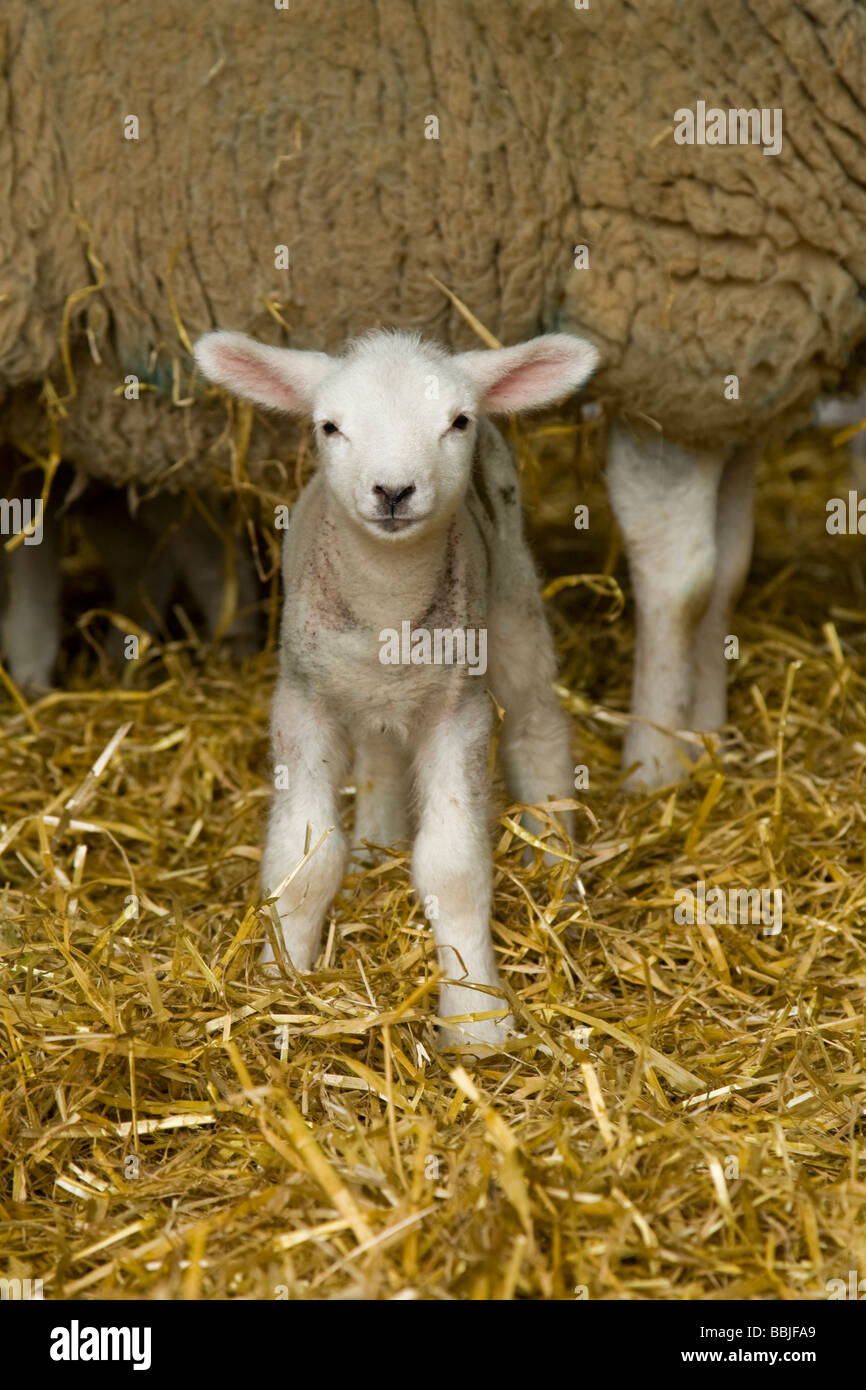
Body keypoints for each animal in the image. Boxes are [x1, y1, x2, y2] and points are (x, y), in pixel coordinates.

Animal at [194, 328, 603, 1045]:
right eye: (329, 426)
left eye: (458, 422)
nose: (392, 490)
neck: (388, 603)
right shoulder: (302, 705)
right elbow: (302, 860)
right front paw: (280, 983)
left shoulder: (459, 712)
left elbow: (453, 867)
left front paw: (475, 1022)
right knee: (381, 758)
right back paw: (373, 851)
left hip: (512, 589)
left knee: (536, 720)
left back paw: (556, 864)